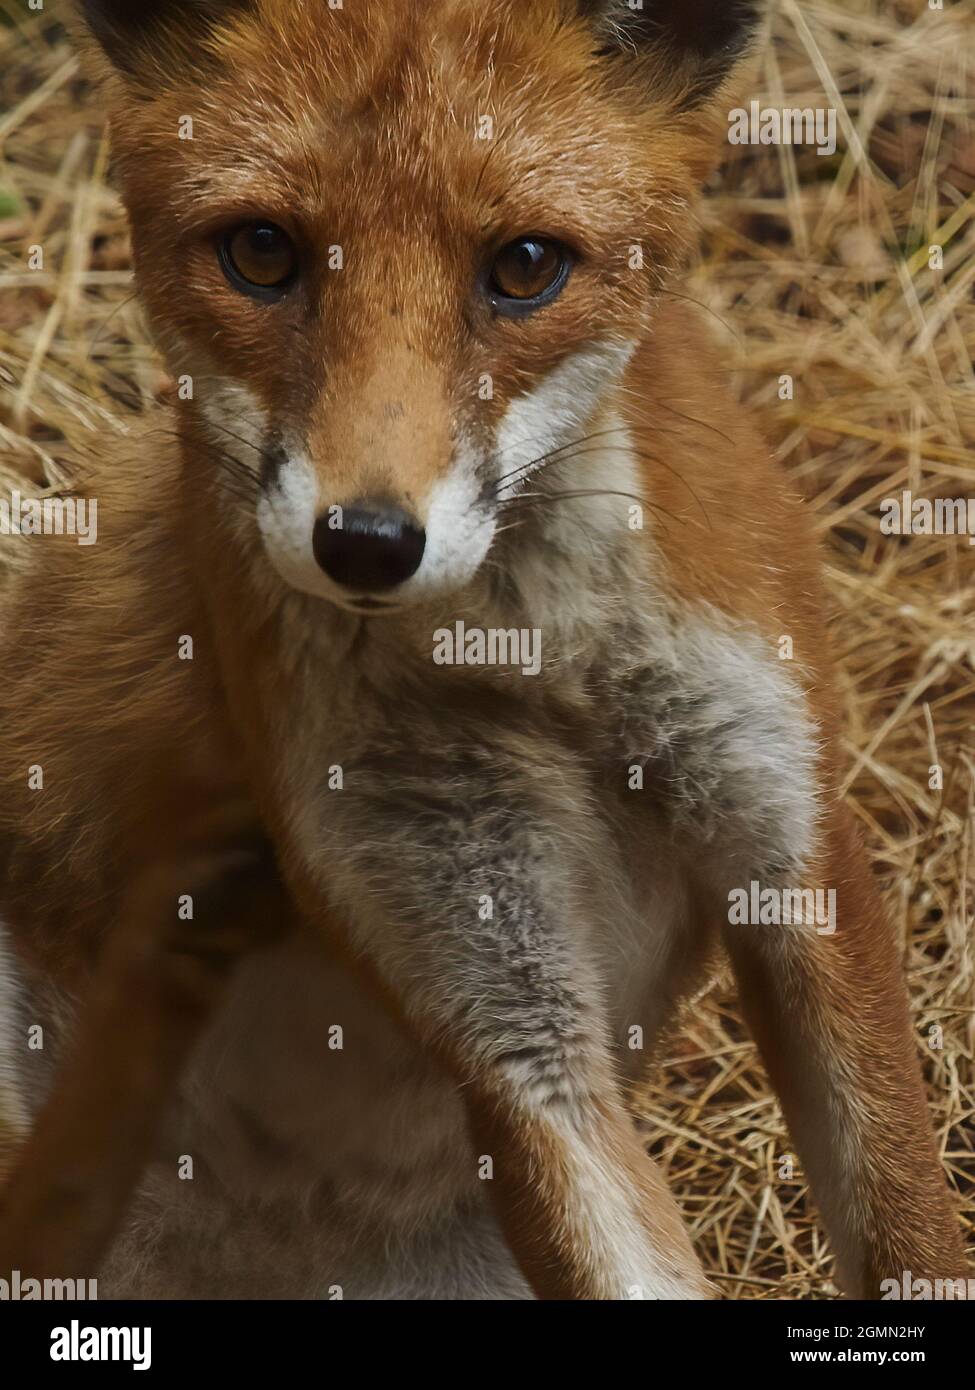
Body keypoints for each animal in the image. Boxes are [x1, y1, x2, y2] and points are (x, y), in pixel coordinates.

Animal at [0, 0, 962, 1301]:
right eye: (262, 253)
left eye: (524, 267)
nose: (365, 543)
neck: (539, 665)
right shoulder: (503, 1018)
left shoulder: (791, 847)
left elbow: (912, 1224)